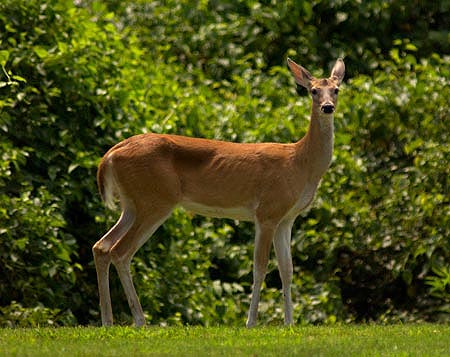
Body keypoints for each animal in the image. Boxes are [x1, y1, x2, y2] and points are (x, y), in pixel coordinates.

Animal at [91, 57, 344, 326]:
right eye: (313, 90)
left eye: (336, 90)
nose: (327, 107)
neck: (300, 162)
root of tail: (110, 155)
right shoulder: (267, 211)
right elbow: (260, 267)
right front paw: (251, 323)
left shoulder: (286, 218)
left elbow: (287, 270)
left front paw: (289, 323)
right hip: (156, 199)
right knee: (120, 251)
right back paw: (140, 320)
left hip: (132, 203)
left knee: (102, 246)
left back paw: (108, 320)